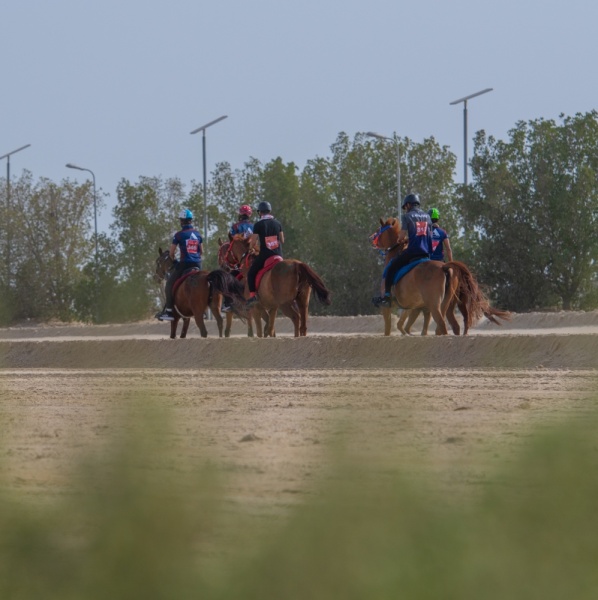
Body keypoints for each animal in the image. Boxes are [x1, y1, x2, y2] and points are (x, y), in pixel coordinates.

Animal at [370, 218, 510, 336]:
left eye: (378, 230)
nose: (371, 238)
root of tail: (444, 267)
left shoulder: (389, 307)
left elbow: (389, 329)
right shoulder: (417, 307)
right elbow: (409, 327)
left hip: (435, 306)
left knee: (442, 325)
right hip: (446, 305)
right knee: (451, 326)